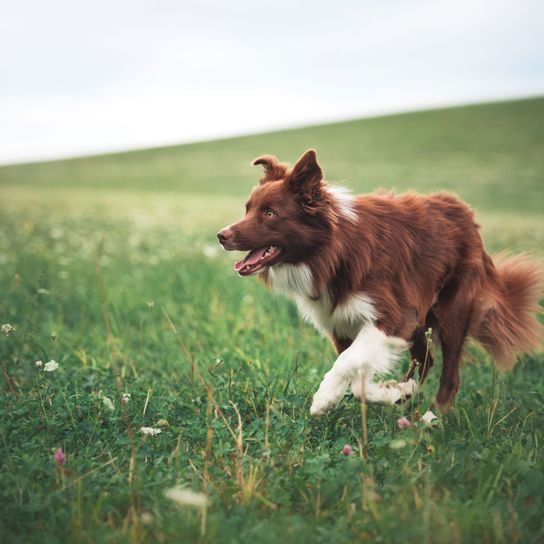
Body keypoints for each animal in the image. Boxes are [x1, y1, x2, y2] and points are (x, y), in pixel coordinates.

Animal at [218, 151, 544, 414]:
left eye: (270, 213)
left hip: (452, 309)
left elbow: (347, 363)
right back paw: (408, 393)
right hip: (420, 318)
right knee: (426, 361)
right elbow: (356, 376)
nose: (221, 235)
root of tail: (466, 213)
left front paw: (324, 398)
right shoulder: (341, 323)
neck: (331, 252)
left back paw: (430, 420)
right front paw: (391, 393)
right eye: (247, 209)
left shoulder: (391, 315)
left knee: (450, 376)